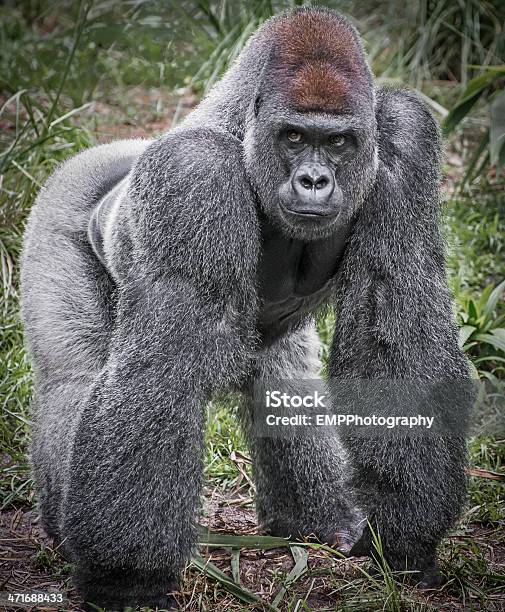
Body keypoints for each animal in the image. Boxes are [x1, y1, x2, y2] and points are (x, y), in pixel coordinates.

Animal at [18, 5, 468, 612]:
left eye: (340, 143)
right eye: (293, 136)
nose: (314, 179)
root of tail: (118, 148)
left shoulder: (405, 136)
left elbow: (393, 323)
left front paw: (406, 539)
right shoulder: (194, 174)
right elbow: (162, 373)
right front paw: (127, 580)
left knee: (286, 382)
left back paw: (320, 518)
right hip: (58, 205)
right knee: (72, 380)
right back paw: (63, 531)